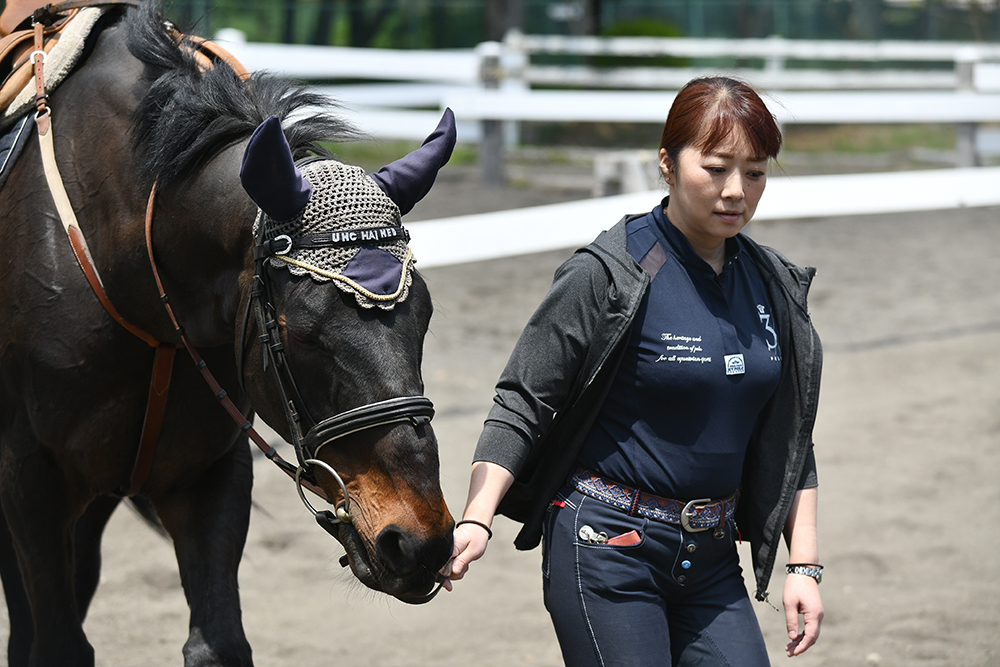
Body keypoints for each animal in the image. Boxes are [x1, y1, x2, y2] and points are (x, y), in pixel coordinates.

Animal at [0, 2, 454, 664]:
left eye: (423, 315)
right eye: (302, 333)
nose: (420, 541)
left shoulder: (209, 474)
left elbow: (218, 641)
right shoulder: (30, 478)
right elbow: (56, 643)